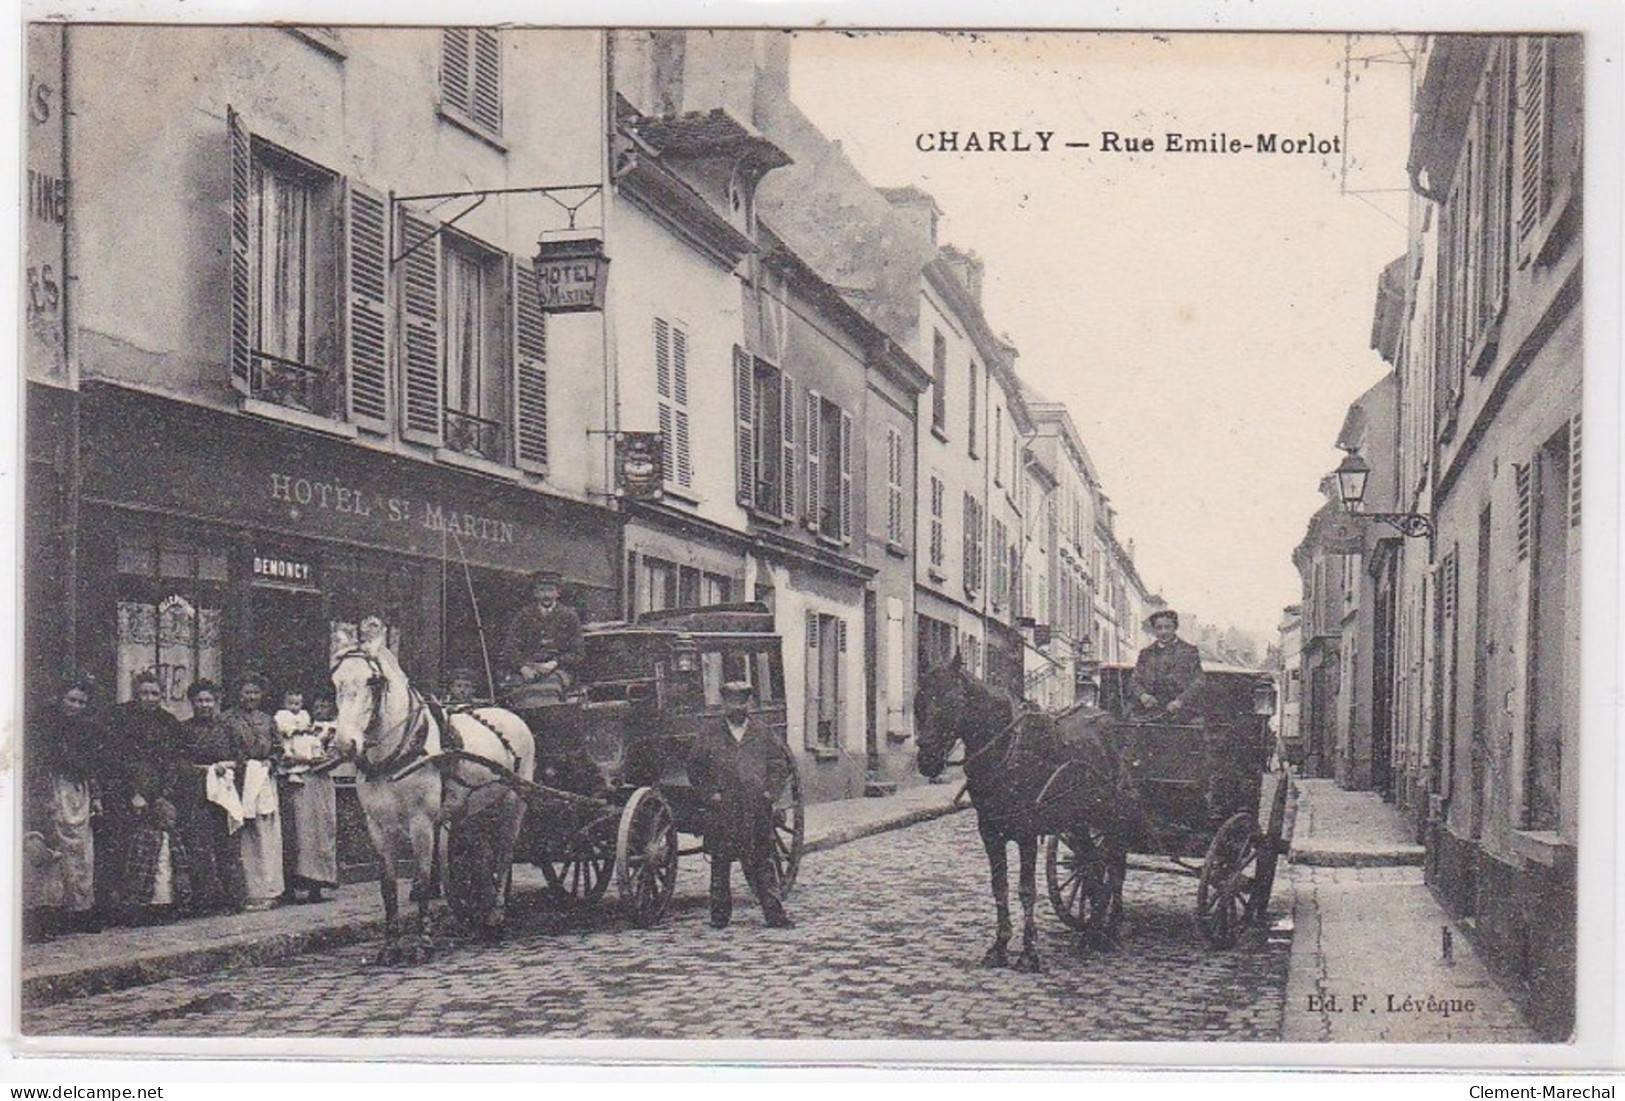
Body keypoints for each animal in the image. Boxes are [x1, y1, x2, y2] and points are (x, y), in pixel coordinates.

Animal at [326, 620, 536, 967]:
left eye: (373, 681)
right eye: (335, 681)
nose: (345, 744)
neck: (397, 754)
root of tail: (510, 714)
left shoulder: (422, 823)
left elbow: (424, 881)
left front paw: (423, 943)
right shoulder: (377, 827)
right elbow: (387, 888)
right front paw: (390, 946)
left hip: (513, 804)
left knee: (505, 855)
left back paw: (496, 915)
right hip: (473, 811)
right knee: (482, 855)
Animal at [916, 656, 1131, 974]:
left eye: (953, 701)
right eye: (919, 700)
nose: (927, 761)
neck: (1007, 749)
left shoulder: (1027, 833)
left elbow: (1026, 890)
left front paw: (1029, 953)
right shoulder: (990, 833)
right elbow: (1000, 887)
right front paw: (999, 947)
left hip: (1113, 818)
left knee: (1115, 867)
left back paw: (1113, 927)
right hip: (1079, 821)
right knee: (1092, 865)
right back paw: (1092, 932)